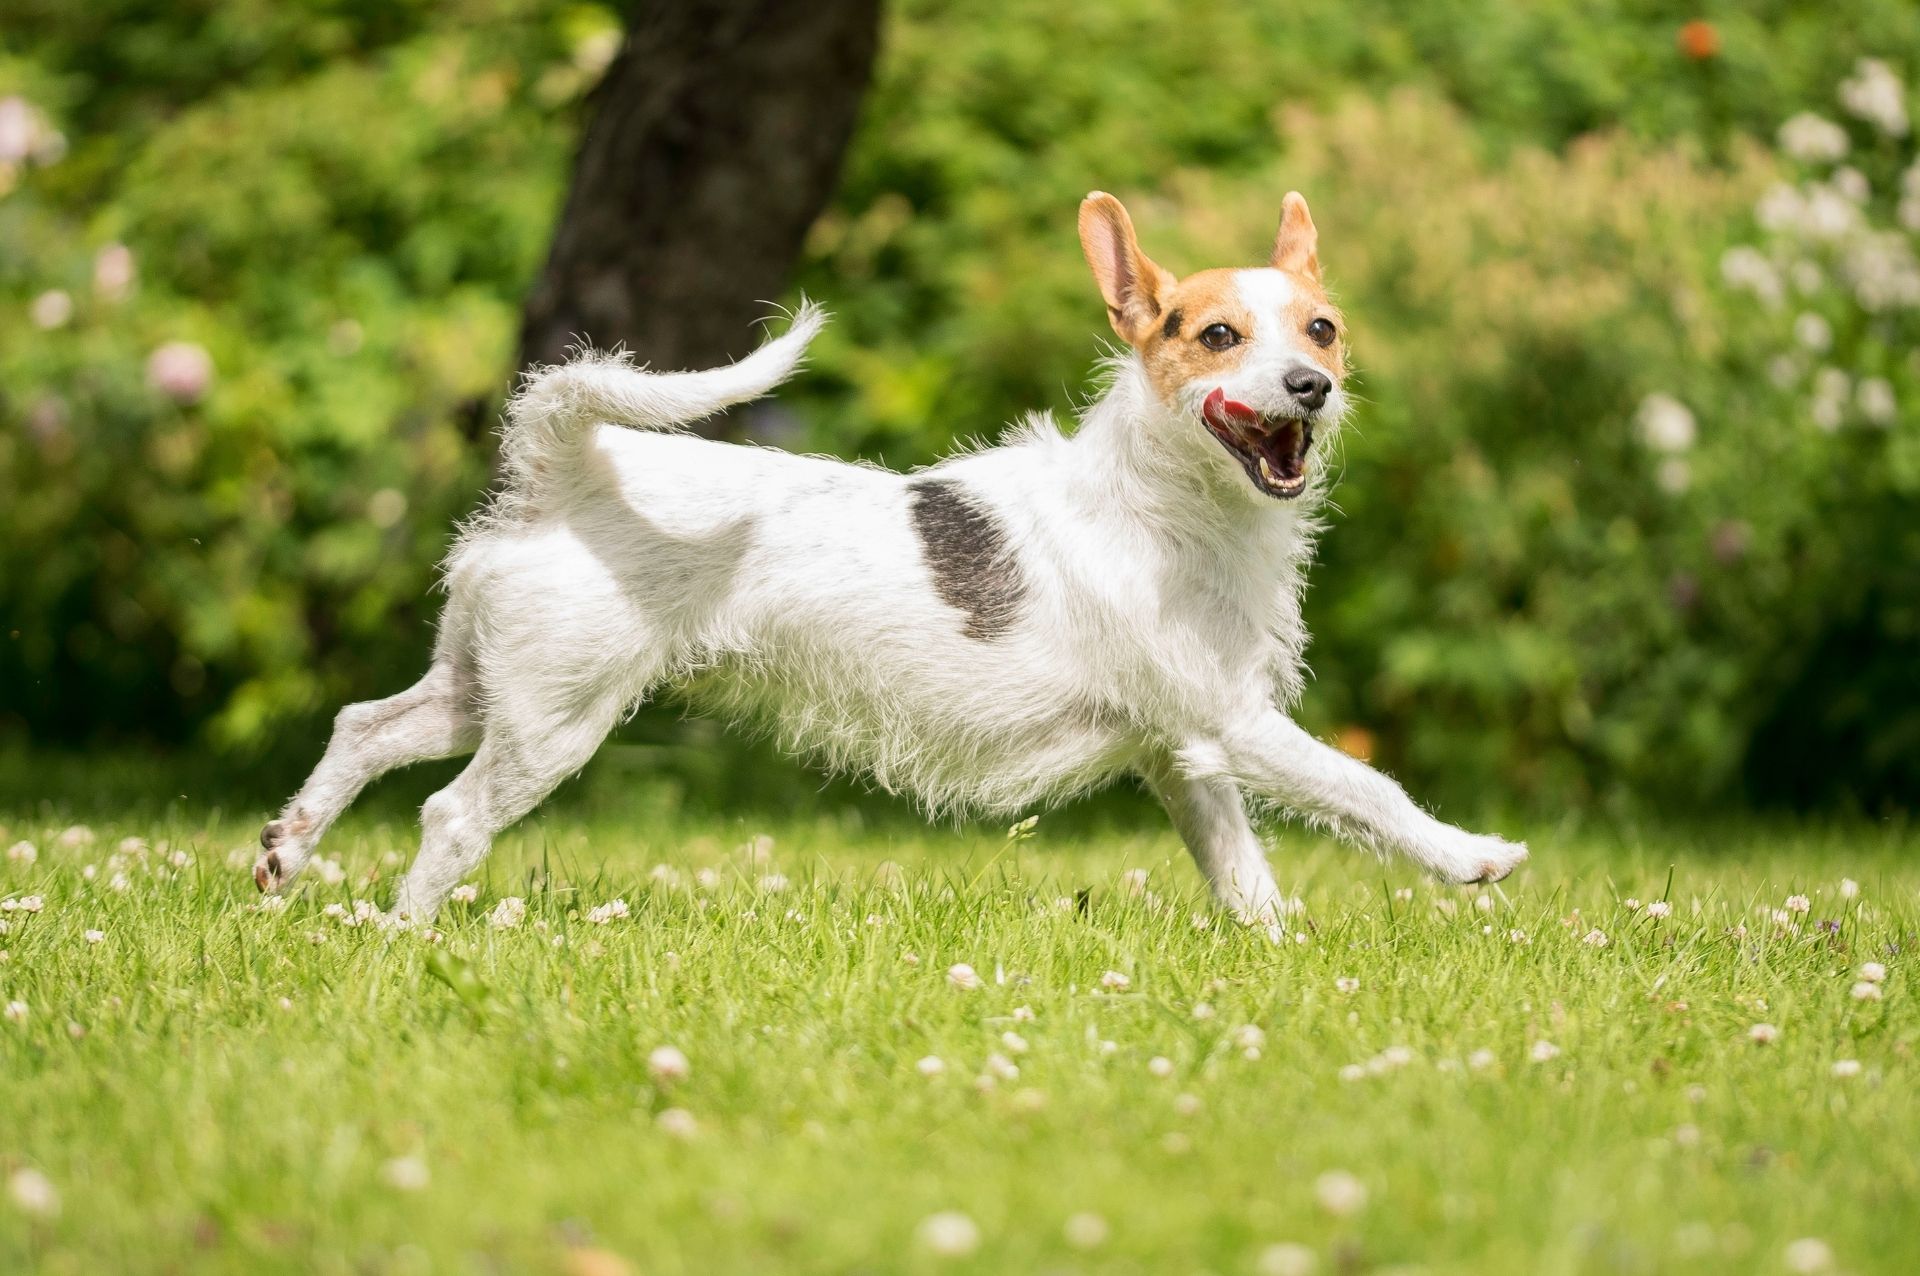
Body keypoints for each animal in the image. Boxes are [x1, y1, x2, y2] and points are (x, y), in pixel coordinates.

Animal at [255, 191, 1520, 917]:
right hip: (555, 720)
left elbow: (1243, 873)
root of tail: (562, 463)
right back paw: (402, 935)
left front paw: (1274, 953)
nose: (1311, 385)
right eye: (1217, 336)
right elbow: (1363, 786)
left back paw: (284, 857)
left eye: (1322, 329)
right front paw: (1468, 855)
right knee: (448, 816)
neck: (1166, 501)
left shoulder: (1184, 753)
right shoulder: (1234, 726)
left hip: (488, 684)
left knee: (366, 726)